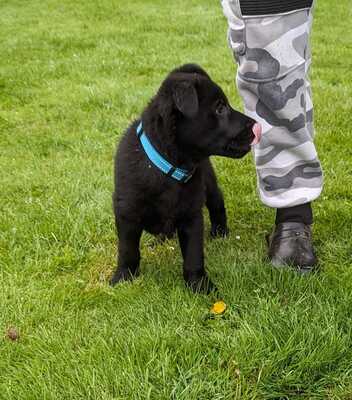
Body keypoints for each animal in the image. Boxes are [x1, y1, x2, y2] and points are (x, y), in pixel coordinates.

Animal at [111, 64, 260, 292]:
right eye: (220, 108)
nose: (256, 125)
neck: (169, 167)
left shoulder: (191, 213)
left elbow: (193, 254)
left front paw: (199, 285)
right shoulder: (126, 212)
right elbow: (128, 250)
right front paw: (123, 277)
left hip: (208, 182)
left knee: (217, 203)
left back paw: (219, 232)